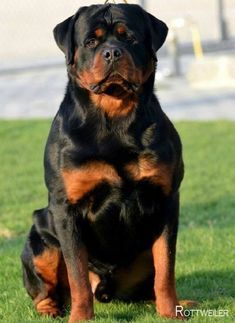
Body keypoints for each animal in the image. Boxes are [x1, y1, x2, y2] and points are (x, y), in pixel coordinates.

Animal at [21, 3, 188, 323]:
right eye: (90, 42)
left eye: (129, 38)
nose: (112, 52)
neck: (115, 119)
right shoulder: (66, 208)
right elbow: (77, 275)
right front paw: (80, 317)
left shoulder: (166, 199)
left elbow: (166, 265)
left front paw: (169, 311)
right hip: (40, 239)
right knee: (47, 288)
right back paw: (52, 309)